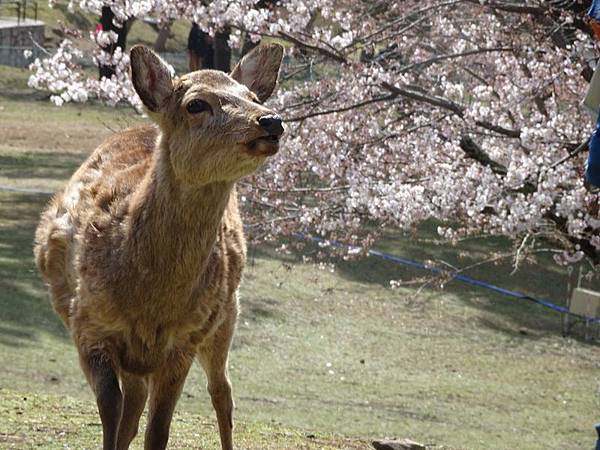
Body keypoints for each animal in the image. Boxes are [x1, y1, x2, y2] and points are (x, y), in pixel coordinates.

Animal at [33, 43, 286, 450]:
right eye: (196, 104)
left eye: (252, 97)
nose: (272, 121)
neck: (149, 301)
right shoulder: (87, 326)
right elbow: (112, 410)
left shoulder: (183, 342)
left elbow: (158, 430)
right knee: (134, 403)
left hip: (226, 314)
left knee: (222, 391)